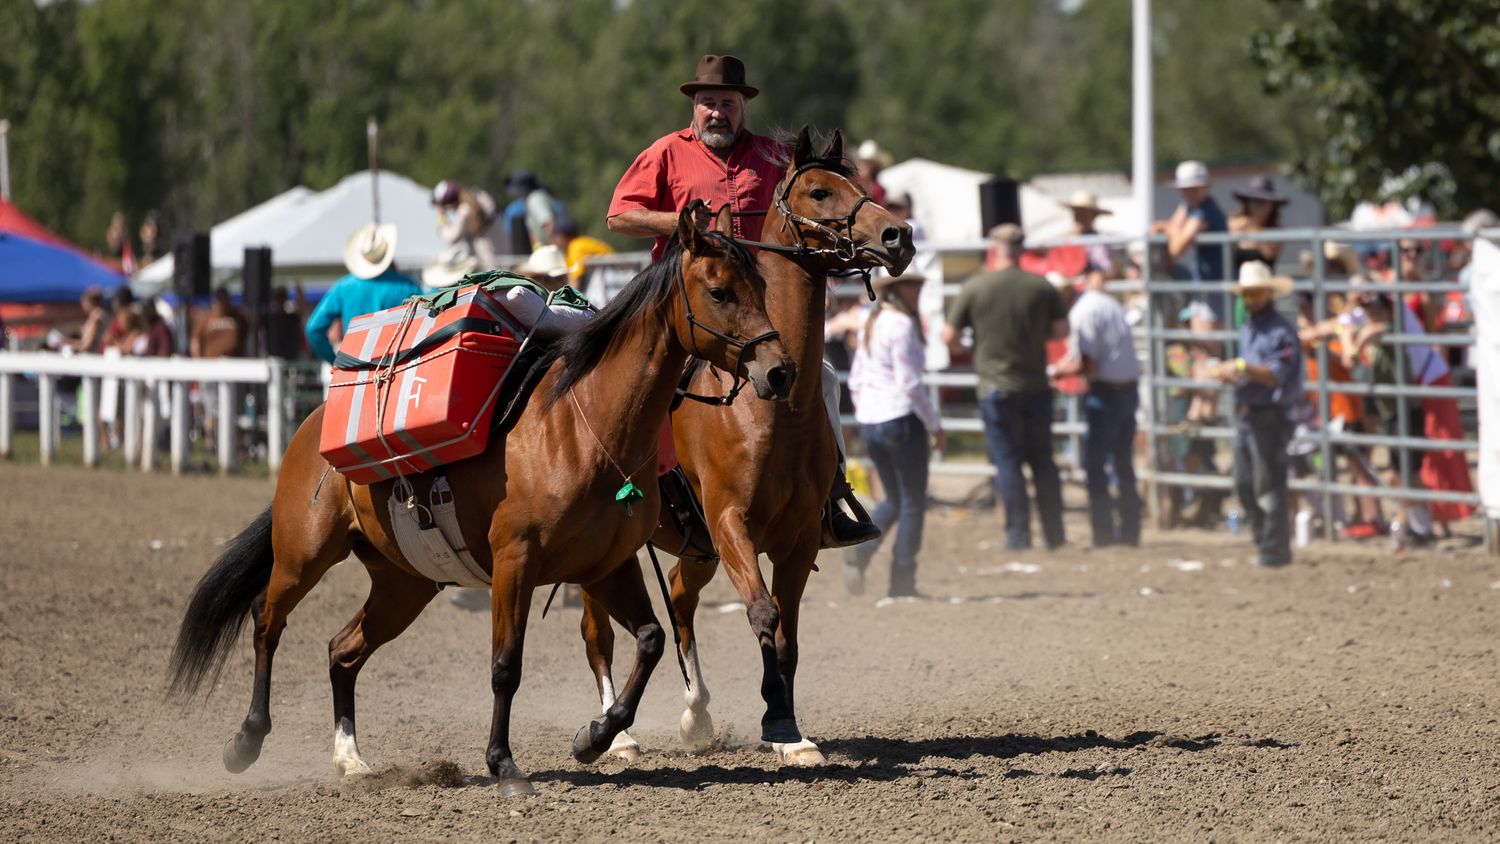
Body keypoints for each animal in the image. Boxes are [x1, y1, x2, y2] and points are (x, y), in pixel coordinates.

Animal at [166, 203, 794, 797]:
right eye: (719, 291)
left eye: (761, 287)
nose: (780, 371)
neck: (581, 427)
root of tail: (309, 426)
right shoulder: (515, 561)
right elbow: (505, 666)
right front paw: (504, 764)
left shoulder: (607, 565)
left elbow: (651, 640)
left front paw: (594, 737)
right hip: (304, 552)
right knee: (266, 620)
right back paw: (246, 740)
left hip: (404, 583)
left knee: (342, 650)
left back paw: (351, 760)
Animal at [579, 128, 915, 766]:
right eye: (819, 190)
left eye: (860, 183)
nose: (898, 235)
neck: (773, 406)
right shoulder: (731, 522)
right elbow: (762, 613)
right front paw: (777, 719)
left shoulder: (797, 537)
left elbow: (787, 634)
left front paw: (788, 726)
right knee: (597, 630)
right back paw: (620, 737)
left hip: (697, 549)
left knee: (679, 600)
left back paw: (697, 714)